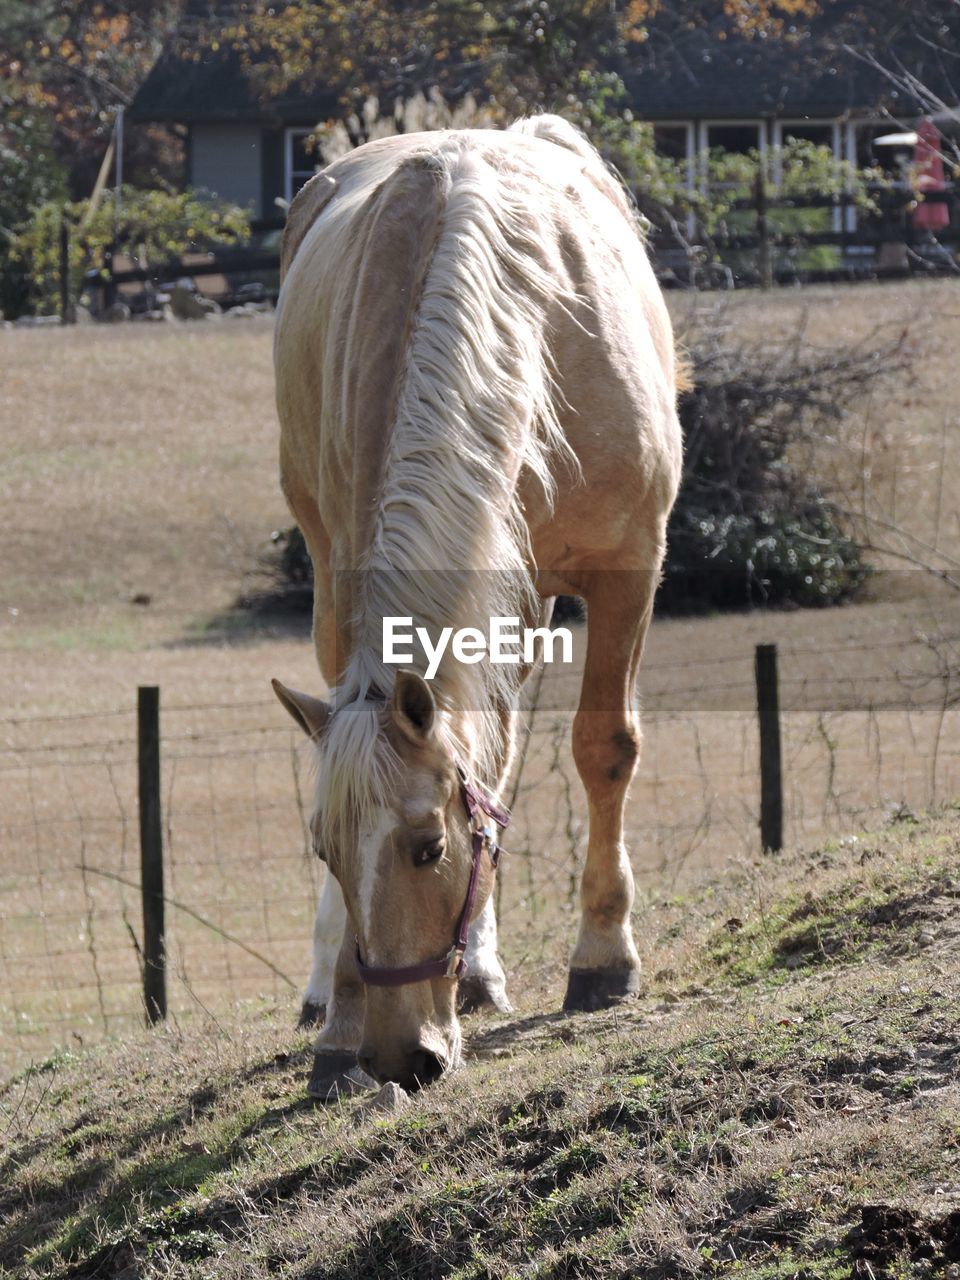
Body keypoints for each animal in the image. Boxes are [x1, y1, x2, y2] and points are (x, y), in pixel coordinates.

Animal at [273, 117, 686, 1090]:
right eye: (325, 850)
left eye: (429, 846)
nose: (399, 1057)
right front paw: (339, 1018)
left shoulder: (627, 569)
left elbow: (603, 749)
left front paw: (603, 957)